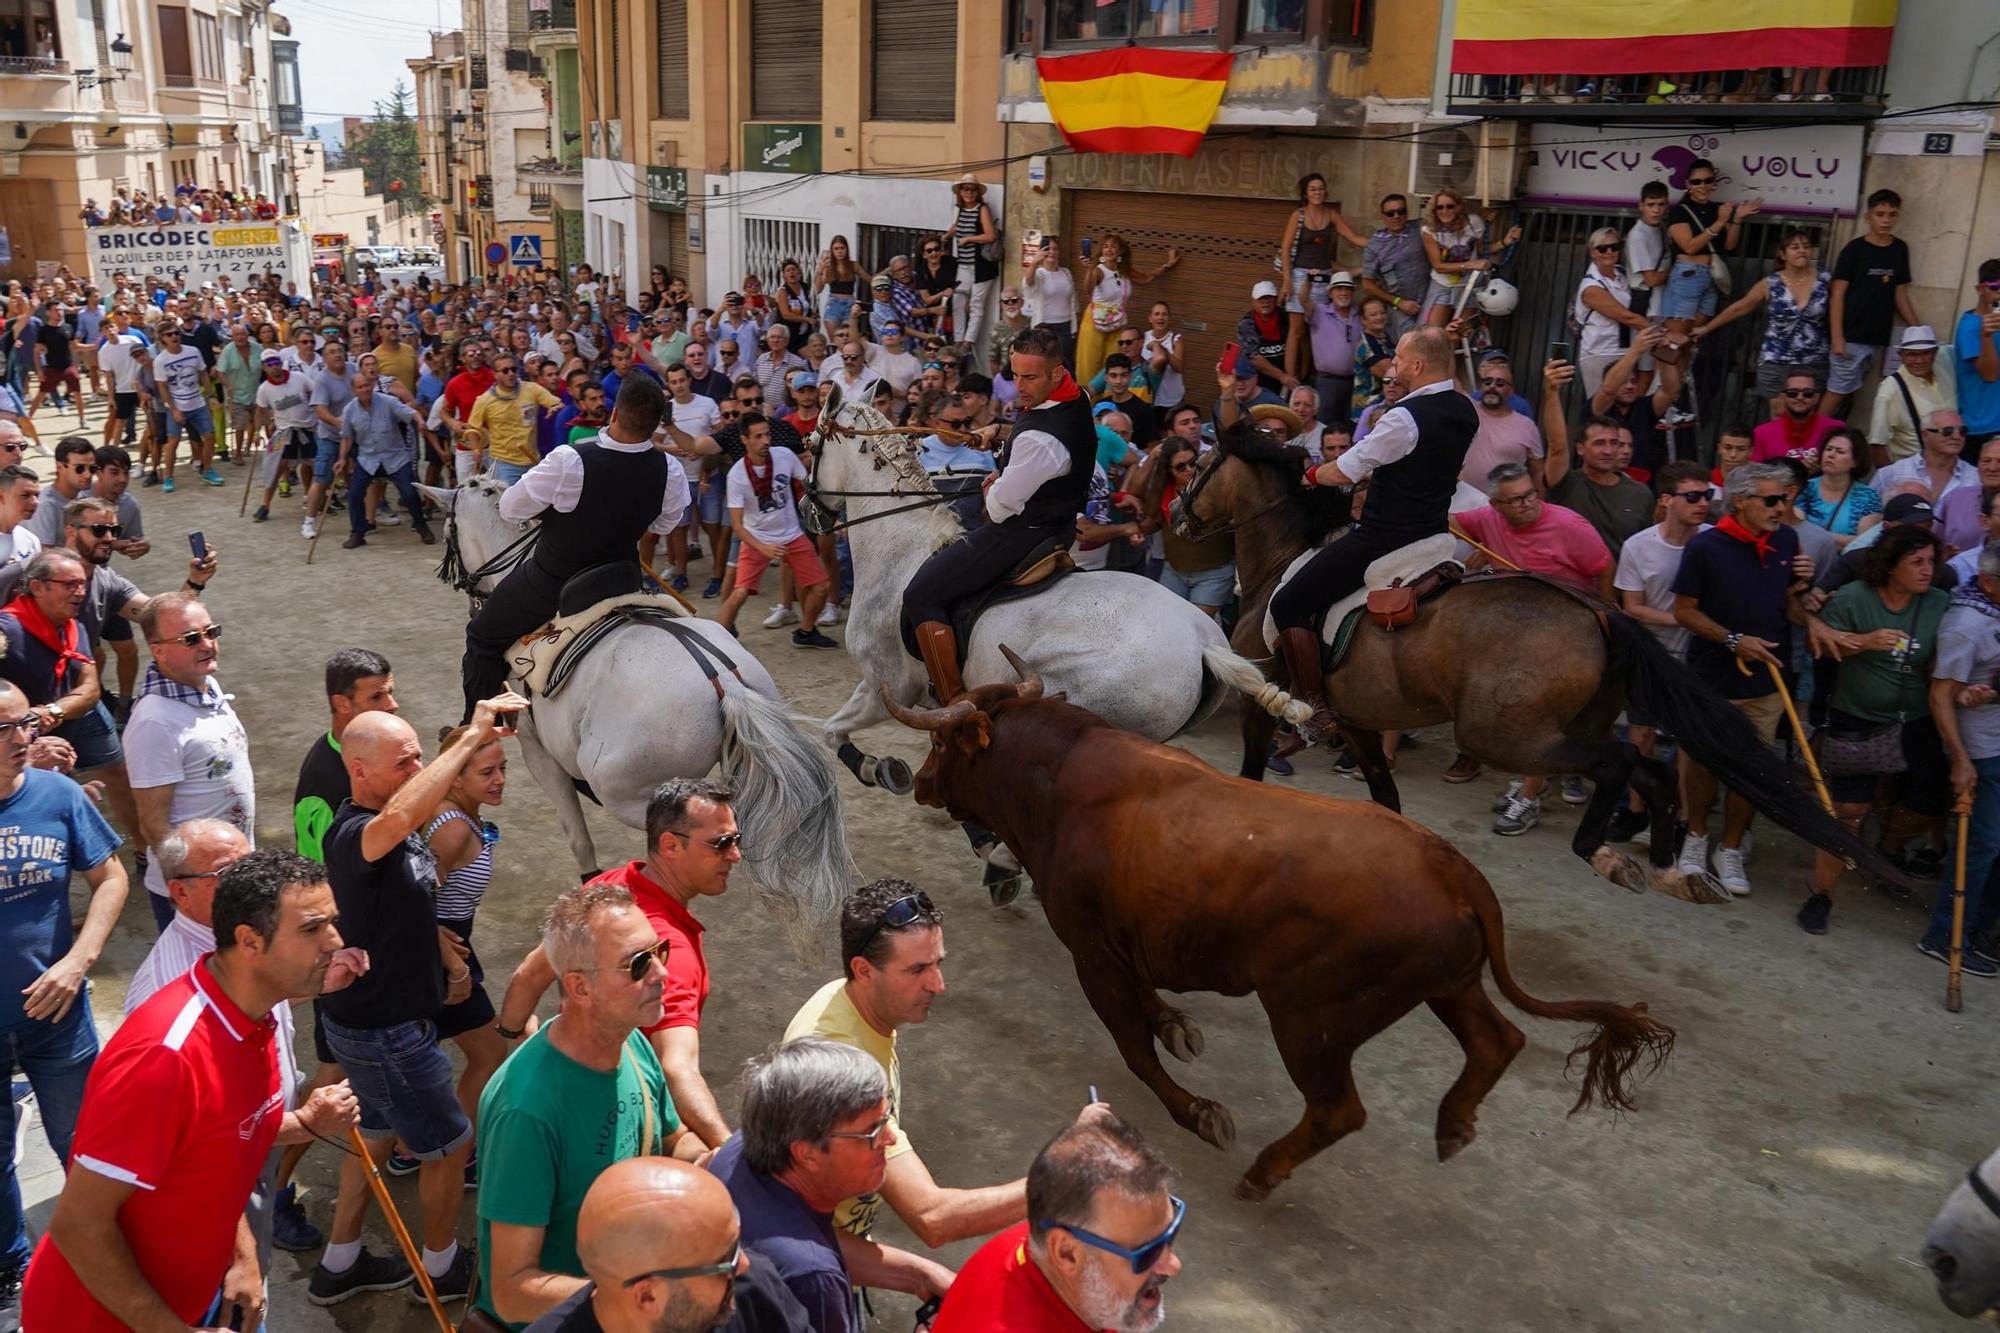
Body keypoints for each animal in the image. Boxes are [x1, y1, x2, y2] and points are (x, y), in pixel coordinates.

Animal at [804, 384, 1304, 788]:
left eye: (810, 446)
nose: (810, 515)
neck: (900, 547)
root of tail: (1204, 643)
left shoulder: (884, 687)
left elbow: (831, 731)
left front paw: (877, 768)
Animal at [884, 648, 1680, 1200]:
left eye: (943, 745)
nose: (918, 782)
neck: (1058, 780)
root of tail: (1450, 867)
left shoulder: (1090, 949)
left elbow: (1134, 1046)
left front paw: (1199, 1110)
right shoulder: (1129, 941)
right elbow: (1152, 1010)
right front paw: (1178, 1023)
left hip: (1310, 1020)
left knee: (1339, 1109)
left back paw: (1264, 1172)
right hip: (1448, 985)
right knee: (1497, 1040)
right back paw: (1453, 1125)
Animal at [1176, 422, 1896, 904]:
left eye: (1202, 462)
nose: (1179, 516)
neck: (1277, 563)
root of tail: (1600, 610)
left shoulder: (1263, 695)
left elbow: (1251, 772)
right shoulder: (1356, 720)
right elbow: (1385, 794)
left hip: (1507, 734)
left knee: (1622, 761)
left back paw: (1602, 850)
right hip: (1568, 724)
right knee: (1653, 769)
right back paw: (1664, 863)